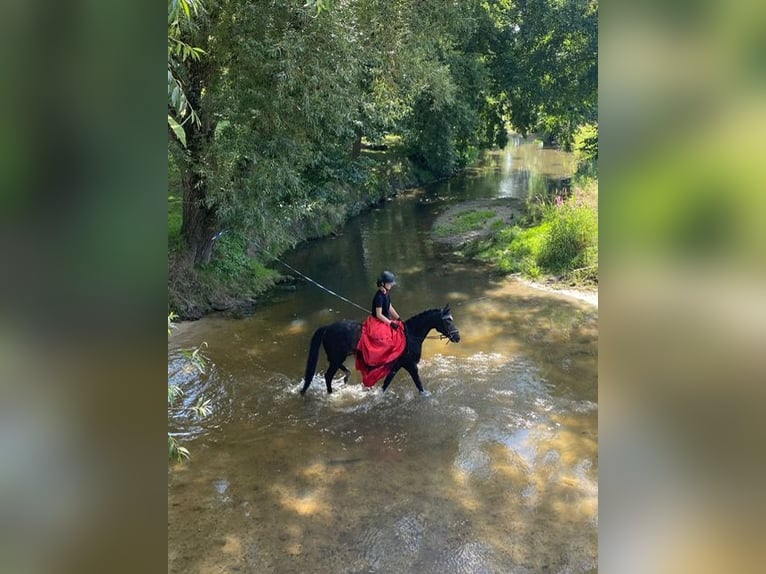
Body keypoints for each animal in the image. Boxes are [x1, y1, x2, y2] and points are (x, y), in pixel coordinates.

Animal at [302, 306, 462, 396]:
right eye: (447, 320)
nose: (457, 337)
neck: (410, 335)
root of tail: (327, 327)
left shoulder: (396, 366)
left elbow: (385, 384)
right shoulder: (410, 365)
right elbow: (419, 384)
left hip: (338, 357)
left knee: (339, 369)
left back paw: (346, 377)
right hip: (337, 358)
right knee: (328, 376)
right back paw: (331, 395)